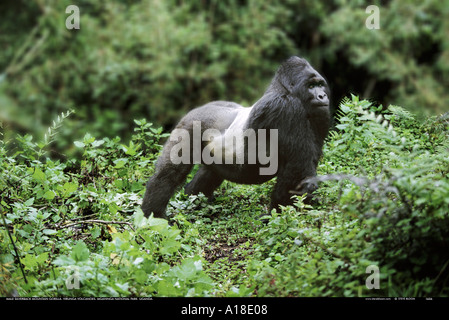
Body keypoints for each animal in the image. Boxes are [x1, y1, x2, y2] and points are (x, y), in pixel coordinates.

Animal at [142, 56, 330, 219]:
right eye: (311, 86)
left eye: (320, 85)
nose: (323, 95)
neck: (283, 89)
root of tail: (195, 110)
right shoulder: (286, 108)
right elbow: (297, 169)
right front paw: (278, 214)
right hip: (188, 127)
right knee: (168, 175)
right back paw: (153, 215)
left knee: (209, 173)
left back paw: (195, 201)